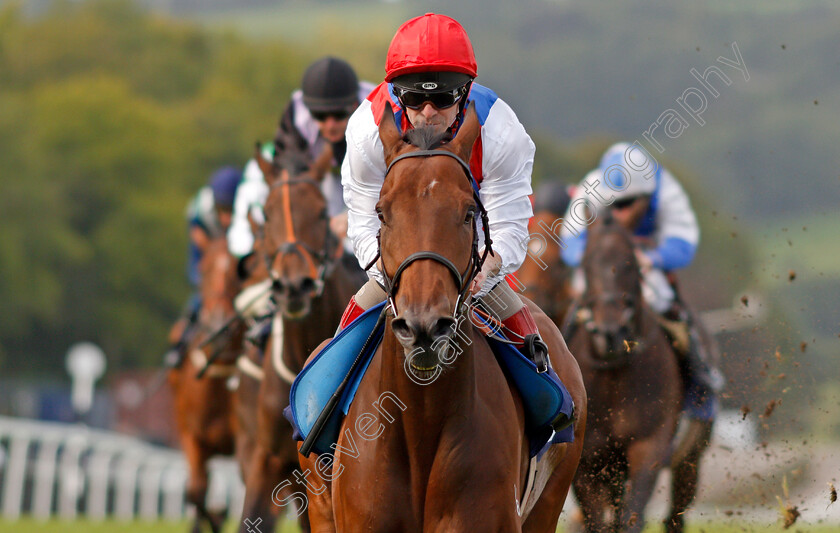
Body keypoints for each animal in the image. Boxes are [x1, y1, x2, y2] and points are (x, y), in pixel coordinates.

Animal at [168, 237, 244, 532]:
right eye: (205, 268)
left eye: (239, 269)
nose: (219, 322)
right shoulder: (190, 435)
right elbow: (195, 491)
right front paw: (213, 517)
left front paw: (219, 515)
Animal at [564, 212, 684, 532]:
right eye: (587, 263)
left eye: (630, 263)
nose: (610, 332)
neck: (613, 375)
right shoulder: (587, 460)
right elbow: (596, 521)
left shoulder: (649, 444)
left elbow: (632, 516)